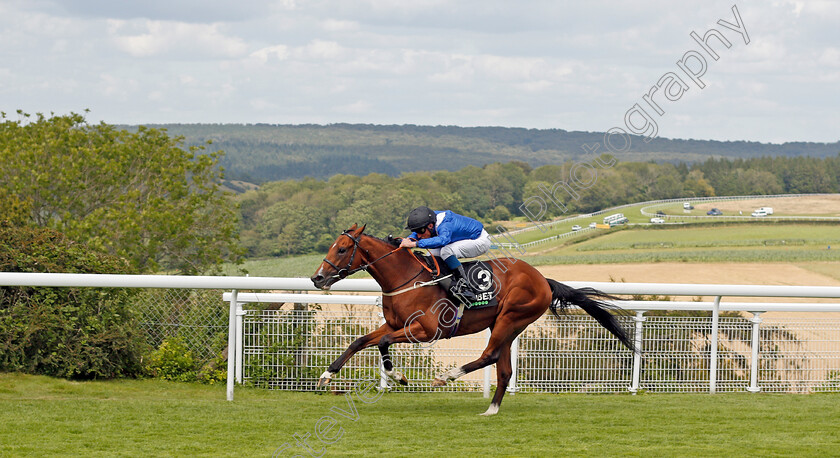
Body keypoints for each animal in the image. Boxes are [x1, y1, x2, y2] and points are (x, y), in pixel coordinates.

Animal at [310, 224, 636, 416]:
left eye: (342, 249)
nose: (317, 278)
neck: (407, 278)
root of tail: (543, 279)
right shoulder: (393, 324)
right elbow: (360, 341)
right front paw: (326, 376)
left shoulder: (428, 330)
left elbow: (384, 343)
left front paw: (397, 376)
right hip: (505, 325)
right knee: (504, 368)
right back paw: (491, 409)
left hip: (511, 316)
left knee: (489, 355)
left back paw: (447, 377)